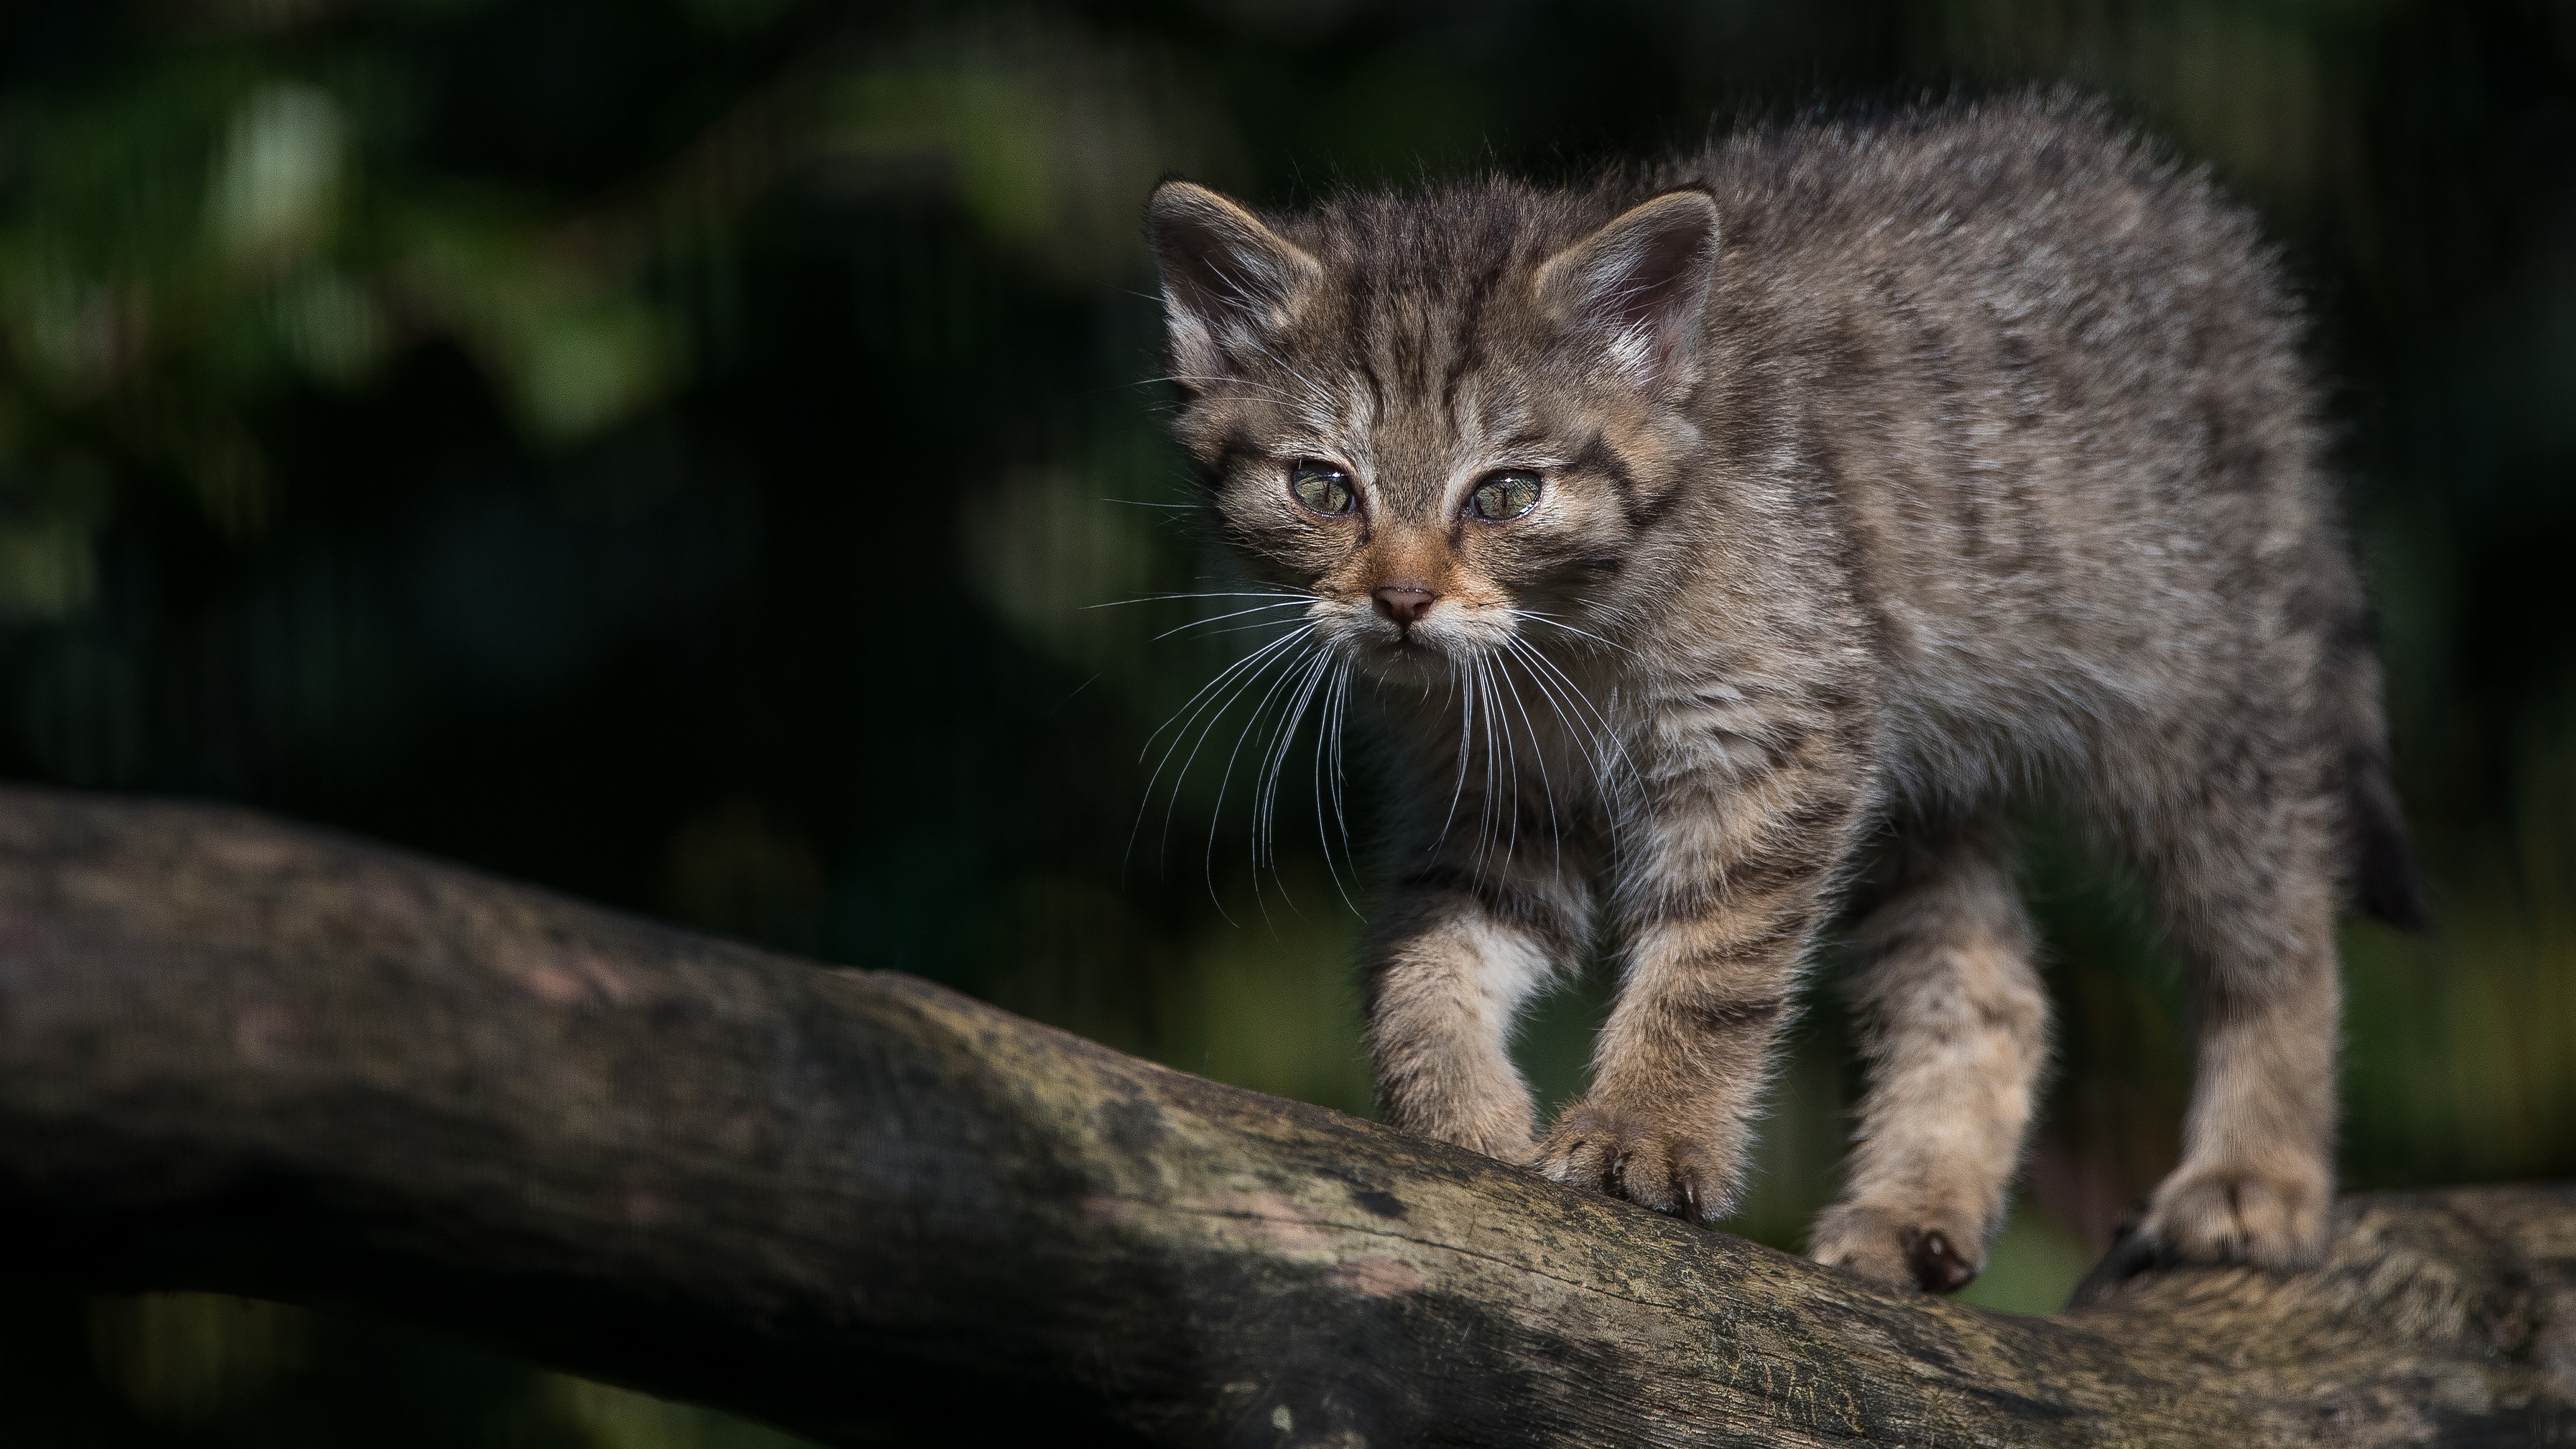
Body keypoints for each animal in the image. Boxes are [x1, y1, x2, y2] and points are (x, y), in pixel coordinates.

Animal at [1138, 90, 2421, 1284]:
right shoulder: (1495, 785)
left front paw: (1648, 1132)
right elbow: (1424, 953)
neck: (1568, 645)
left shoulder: (1780, 735)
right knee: (1991, 988)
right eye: (1323, 488)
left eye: (1505, 495)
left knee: (2278, 923)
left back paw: (2259, 1173)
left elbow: (1715, 964)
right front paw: (1453, 1112)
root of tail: (2208, 236)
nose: (1401, 600)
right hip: (1927, 775)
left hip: (2191, 694)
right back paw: (1917, 1208)